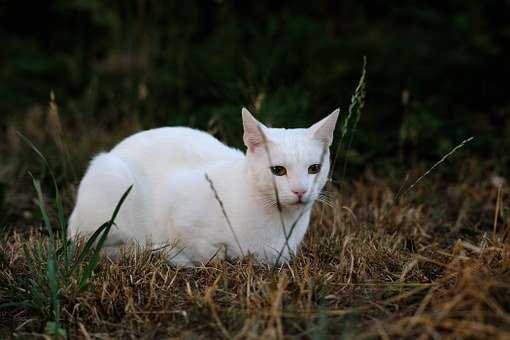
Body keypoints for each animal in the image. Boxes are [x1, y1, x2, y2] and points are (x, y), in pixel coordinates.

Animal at [67, 108, 338, 266]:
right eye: (278, 171)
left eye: (314, 168)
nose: (300, 190)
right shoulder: (176, 206)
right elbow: (210, 253)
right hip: (112, 183)